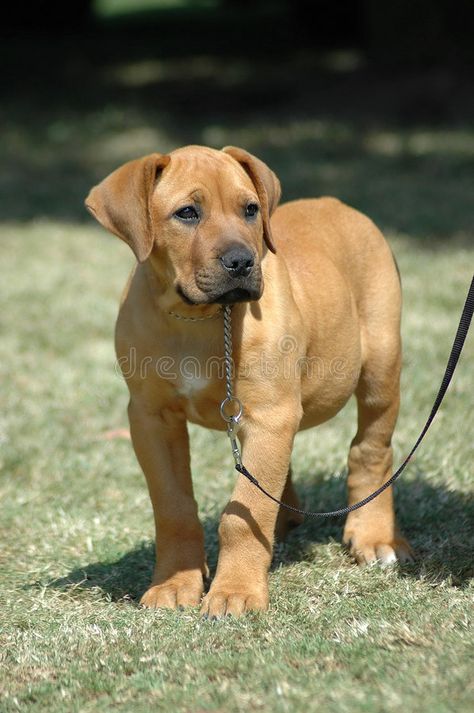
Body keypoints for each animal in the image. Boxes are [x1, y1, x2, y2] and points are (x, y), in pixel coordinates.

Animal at [87, 146, 412, 616]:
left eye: (250, 210)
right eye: (187, 213)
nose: (242, 262)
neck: (199, 318)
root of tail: (336, 202)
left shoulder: (268, 415)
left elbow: (245, 513)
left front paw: (235, 592)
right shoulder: (151, 419)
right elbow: (173, 507)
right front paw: (174, 584)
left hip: (381, 365)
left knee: (372, 451)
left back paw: (375, 537)